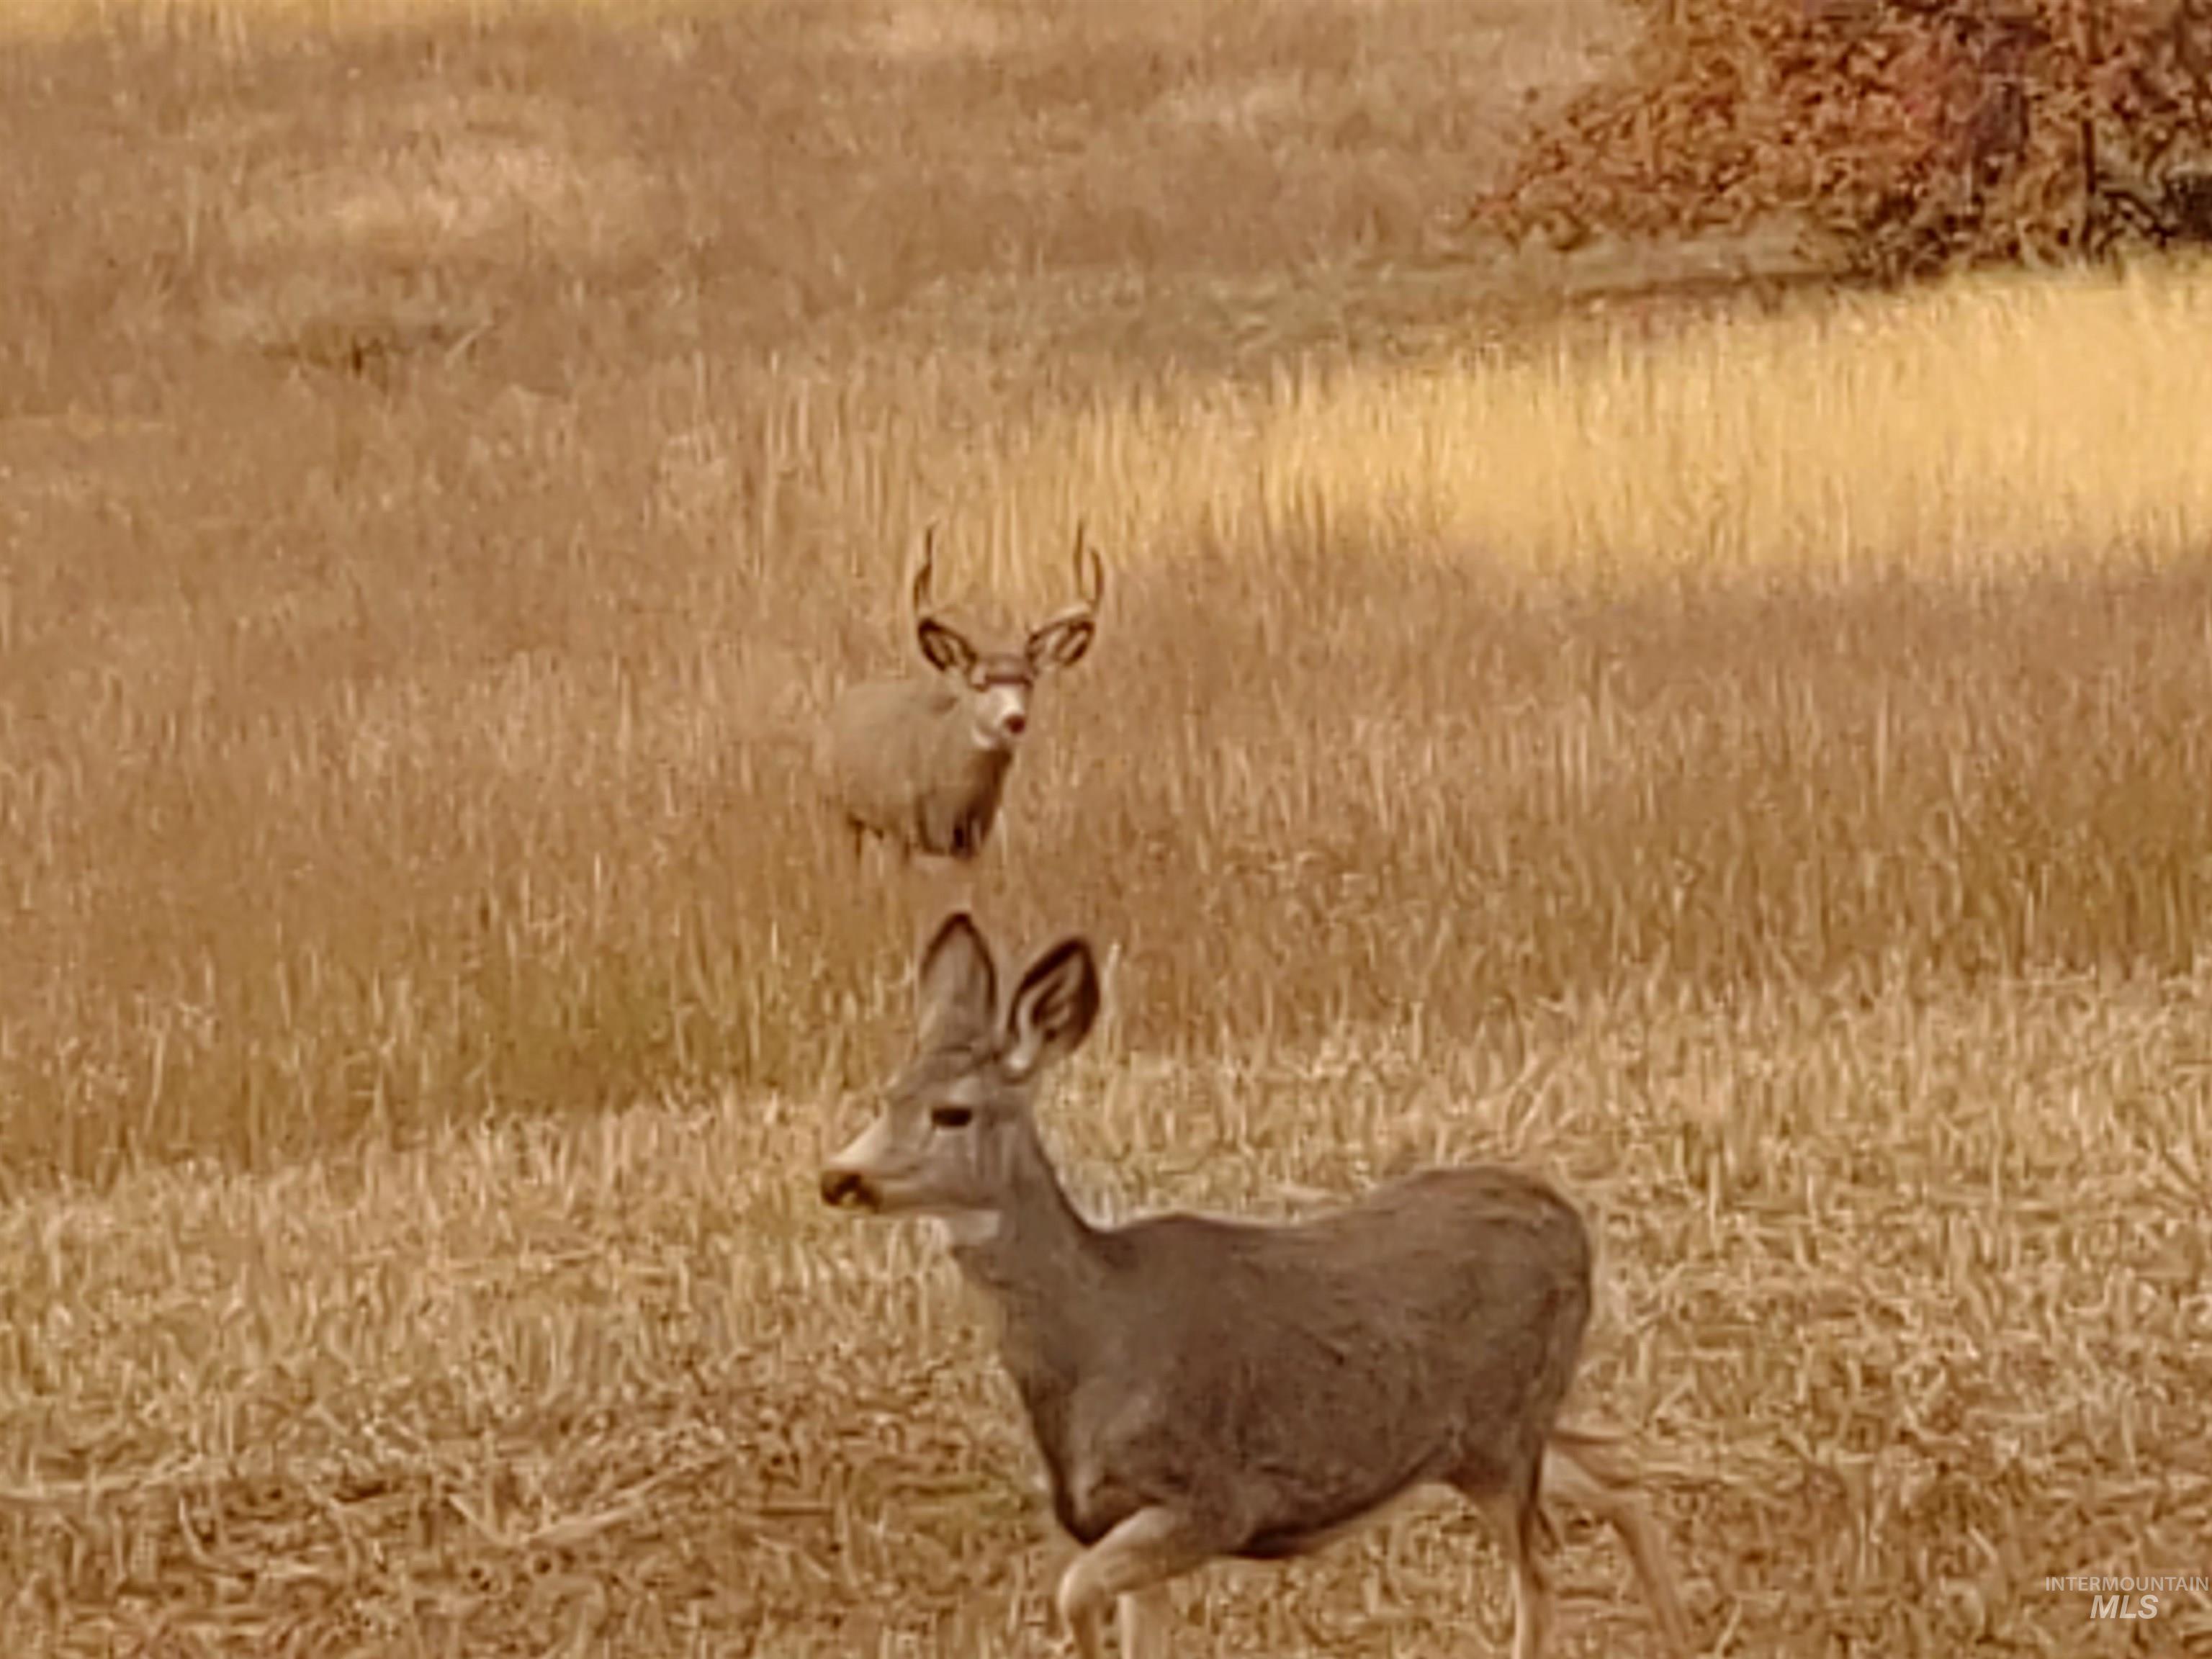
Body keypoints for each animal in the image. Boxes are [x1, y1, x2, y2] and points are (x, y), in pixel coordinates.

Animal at [818, 529, 1101, 871]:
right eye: (980, 683)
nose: (1014, 719)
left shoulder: (973, 840)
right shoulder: (902, 826)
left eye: (1029, 682)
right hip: (838, 806)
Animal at [822, 915, 1699, 1654]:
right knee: (1619, 1477)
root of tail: (1572, 1222)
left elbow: (1074, 1594)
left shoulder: (1213, 1497)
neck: (1095, 1337)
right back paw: (1678, 1631)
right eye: (886, 1095)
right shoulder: (1122, 1514)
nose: (839, 1178)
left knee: (1540, 1578)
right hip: (1501, 1431)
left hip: (1498, 1435)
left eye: (953, 1113)